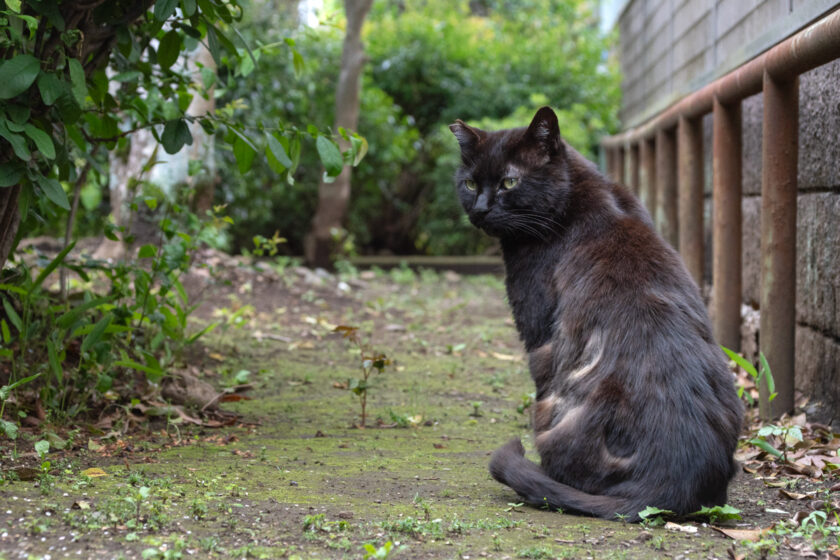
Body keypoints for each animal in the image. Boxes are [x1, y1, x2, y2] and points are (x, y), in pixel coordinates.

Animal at [450, 106, 744, 520]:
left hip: (552, 408)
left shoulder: (540, 337)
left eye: (509, 182)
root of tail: (669, 484)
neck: (572, 201)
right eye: (471, 183)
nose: (480, 209)